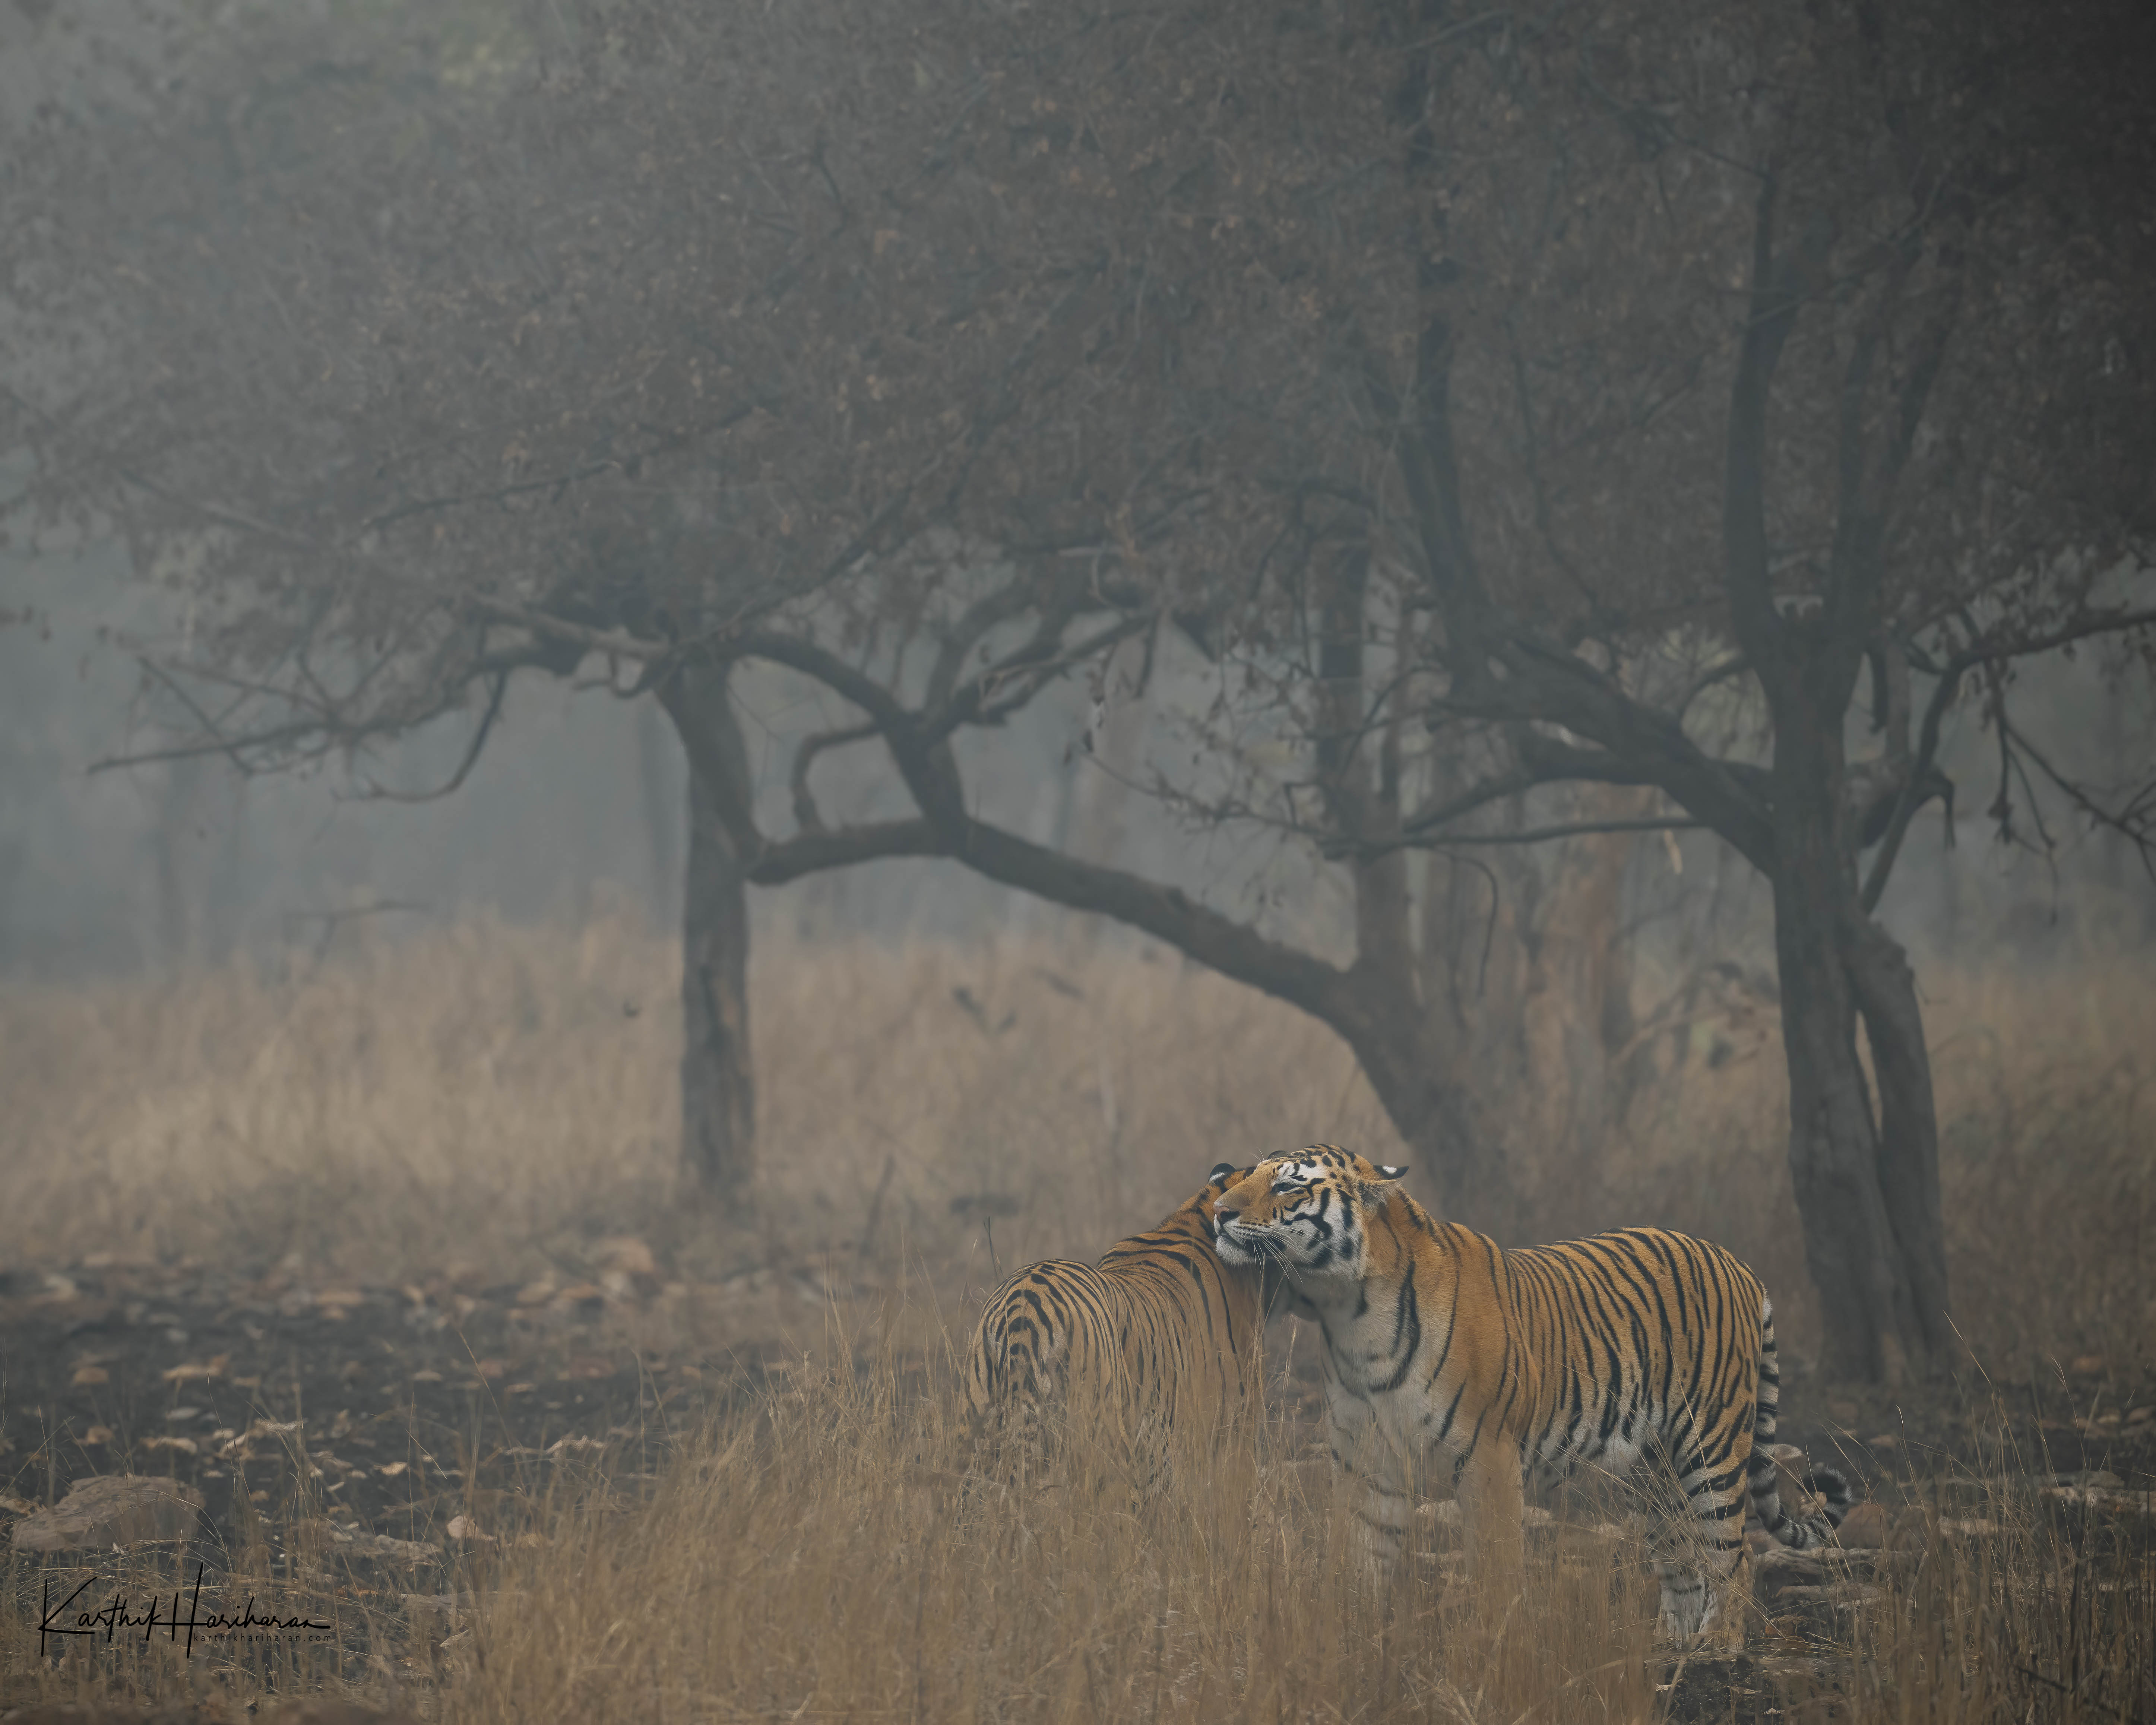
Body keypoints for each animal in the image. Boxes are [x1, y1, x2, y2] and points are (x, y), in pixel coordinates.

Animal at [1210, 1145, 1851, 1642]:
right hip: (1655, 1471)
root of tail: (1740, 1266)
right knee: (1682, 1560)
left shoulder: (1488, 1455)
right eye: (1244, 1176)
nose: (1218, 1212)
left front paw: (1489, 1650)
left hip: (1709, 1444)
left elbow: (1495, 1568)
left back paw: (1714, 1650)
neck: (1349, 1311)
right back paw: (1672, 1651)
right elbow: (1359, 1557)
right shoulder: (1365, 1459)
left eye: (1287, 1184)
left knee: (1733, 1555)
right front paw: (1352, 1639)